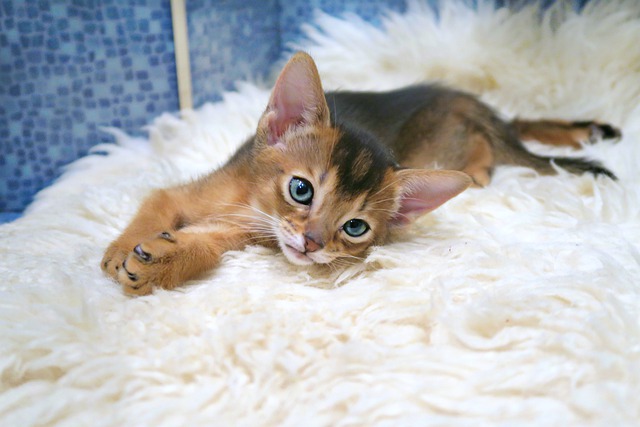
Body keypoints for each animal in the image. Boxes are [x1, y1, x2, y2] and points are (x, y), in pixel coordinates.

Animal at [101, 51, 620, 296]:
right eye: (300, 189)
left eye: (354, 228)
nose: (312, 243)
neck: (245, 201)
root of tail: (475, 107)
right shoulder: (188, 197)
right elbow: (157, 205)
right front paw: (124, 249)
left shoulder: (249, 236)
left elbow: (207, 246)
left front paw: (161, 262)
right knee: (519, 124)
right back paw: (587, 130)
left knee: (498, 147)